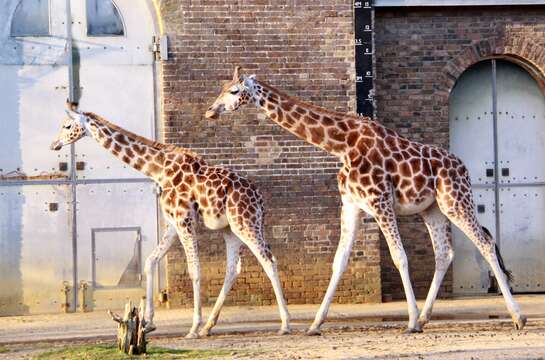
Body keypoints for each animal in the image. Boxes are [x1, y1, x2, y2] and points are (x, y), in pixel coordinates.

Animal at [49, 103, 292, 338]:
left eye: (67, 126)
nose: (54, 144)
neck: (158, 170)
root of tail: (260, 198)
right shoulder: (173, 223)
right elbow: (150, 261)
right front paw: (148, 322)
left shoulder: (184, 220)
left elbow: (194, 270)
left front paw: (192, 328)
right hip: (230, 230)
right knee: (233, 269)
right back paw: (209, 326)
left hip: (245, 223)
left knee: (268, 260)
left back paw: (285, 324)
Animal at [203, 67, 524, 334]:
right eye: (221, 87)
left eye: (234, 91)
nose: (210, 111)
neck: (341, 145)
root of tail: (463, 167)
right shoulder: (351, 206)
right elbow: (339, 261)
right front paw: (315, 324)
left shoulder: (380, 202)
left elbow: (399, 256)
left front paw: (408, 322)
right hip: (432, 210)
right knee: (444, 253)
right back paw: (425, 318)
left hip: (455, 201)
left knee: (485, 243)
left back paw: (517, 317)